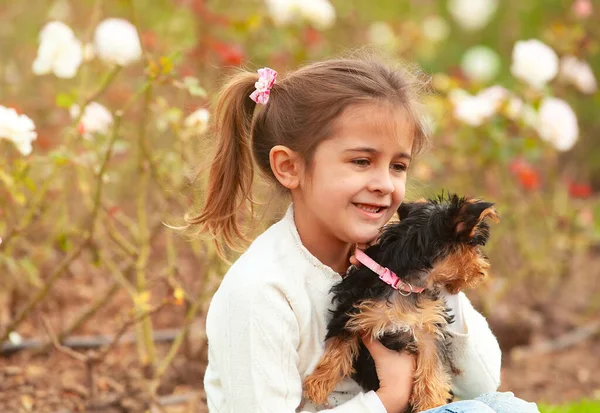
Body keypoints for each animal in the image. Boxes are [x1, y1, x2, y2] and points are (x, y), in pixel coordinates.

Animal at [302, 194, 500, 412]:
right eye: (475, 245)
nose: (482, 268)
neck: (403, 285)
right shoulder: (352, 310)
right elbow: (339, 344)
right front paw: (319, 382)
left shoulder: (428, 329)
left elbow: (432, 365)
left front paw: (431, 403)